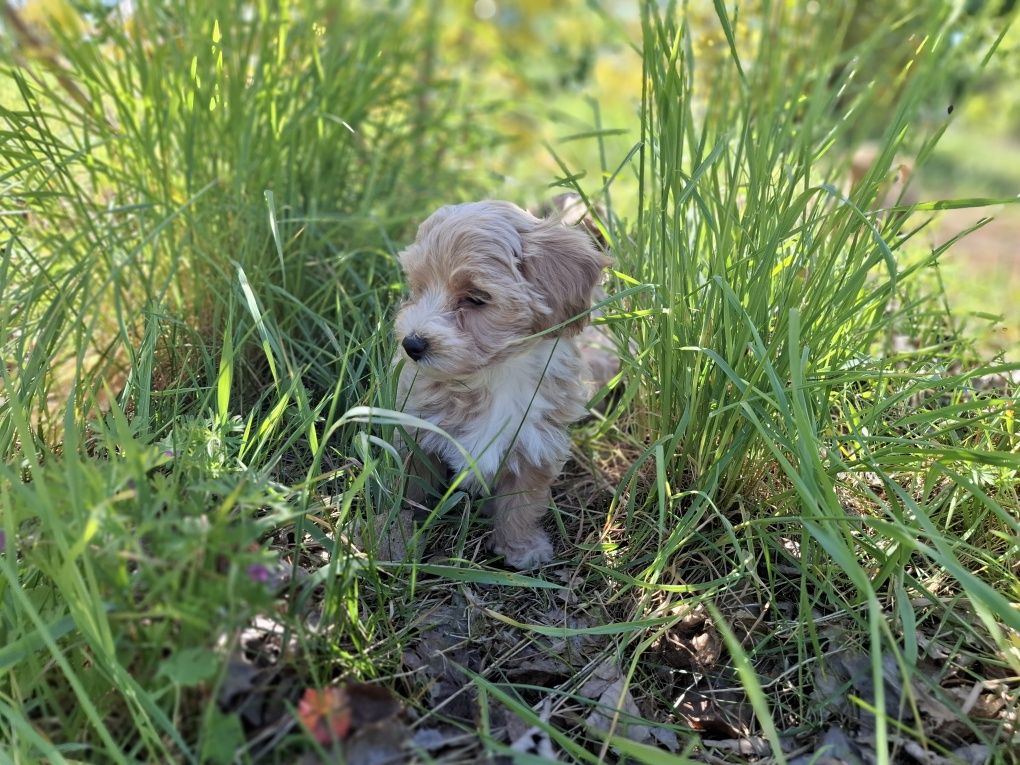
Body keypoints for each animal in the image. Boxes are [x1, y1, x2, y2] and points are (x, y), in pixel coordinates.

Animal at [393, 197, 607, 571]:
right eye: (418, 289)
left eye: (476, 298)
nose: (412, 344)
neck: (496, 371)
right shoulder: (418, 431)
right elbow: (415, 487)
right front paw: (407, 529)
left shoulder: (537, 443)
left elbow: (521, 503)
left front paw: (521, 549)